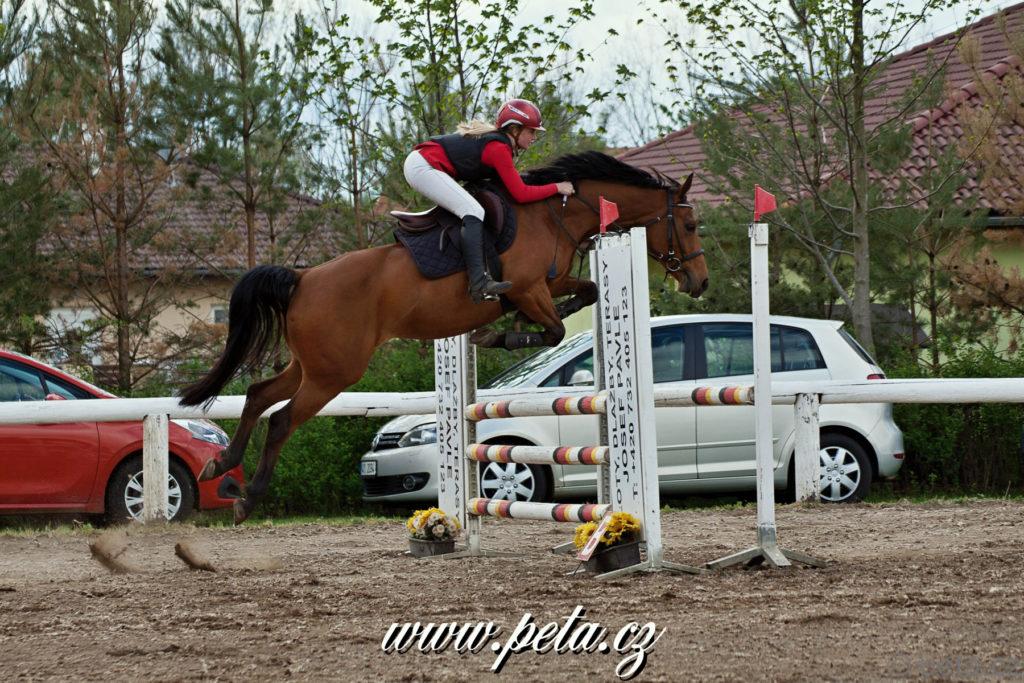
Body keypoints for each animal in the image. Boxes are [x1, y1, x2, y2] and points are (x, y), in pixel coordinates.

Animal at [179, 151, 708, 524]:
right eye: (688, 223)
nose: (699, 282)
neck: (554, 213)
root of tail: (303, 277)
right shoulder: (527, 287)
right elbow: (554, 327)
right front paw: (498, 337)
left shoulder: (550, 283)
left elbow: (588, 292)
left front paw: (509, 329)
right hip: (334, 372)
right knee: (283, 419)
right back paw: (247, 497)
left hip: (311, 364)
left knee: (257, 394)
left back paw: (221, 468)